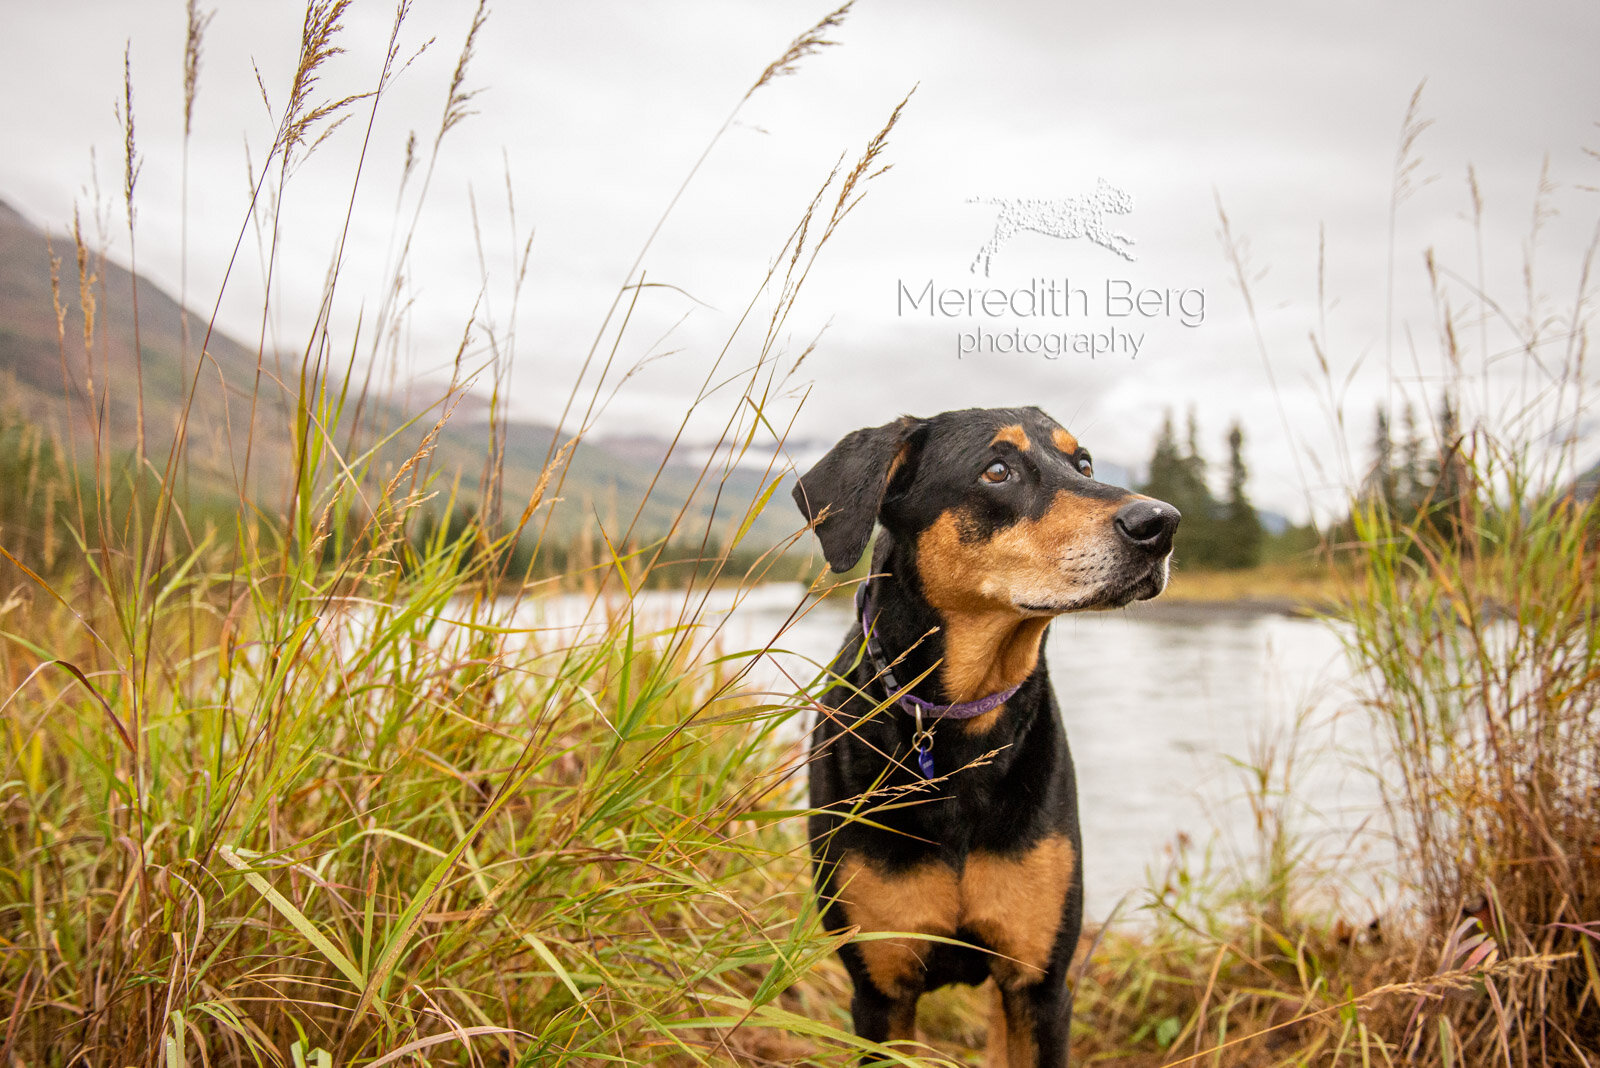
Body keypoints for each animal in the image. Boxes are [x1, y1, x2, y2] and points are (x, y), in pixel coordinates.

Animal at [796, 404, 1184, 1061]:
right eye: (997, 470)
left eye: (1083, 464)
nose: (1160, 523)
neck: (961, 730)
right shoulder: (881, 990)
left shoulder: (1038, 984)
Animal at [972, 178, 1139, 274]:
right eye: (1120, 195)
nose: (1132, 204)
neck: (1094, 204)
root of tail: (1008, 202)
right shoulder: (1098, 235)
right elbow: (1115, 243)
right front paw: (1130, 254)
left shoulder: (1099, 232)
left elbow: (1116, 234)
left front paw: (1130, 240)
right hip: (1005, 232)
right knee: (988, 248)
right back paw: (983, 268)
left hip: (1005, 232)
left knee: (989, 247)